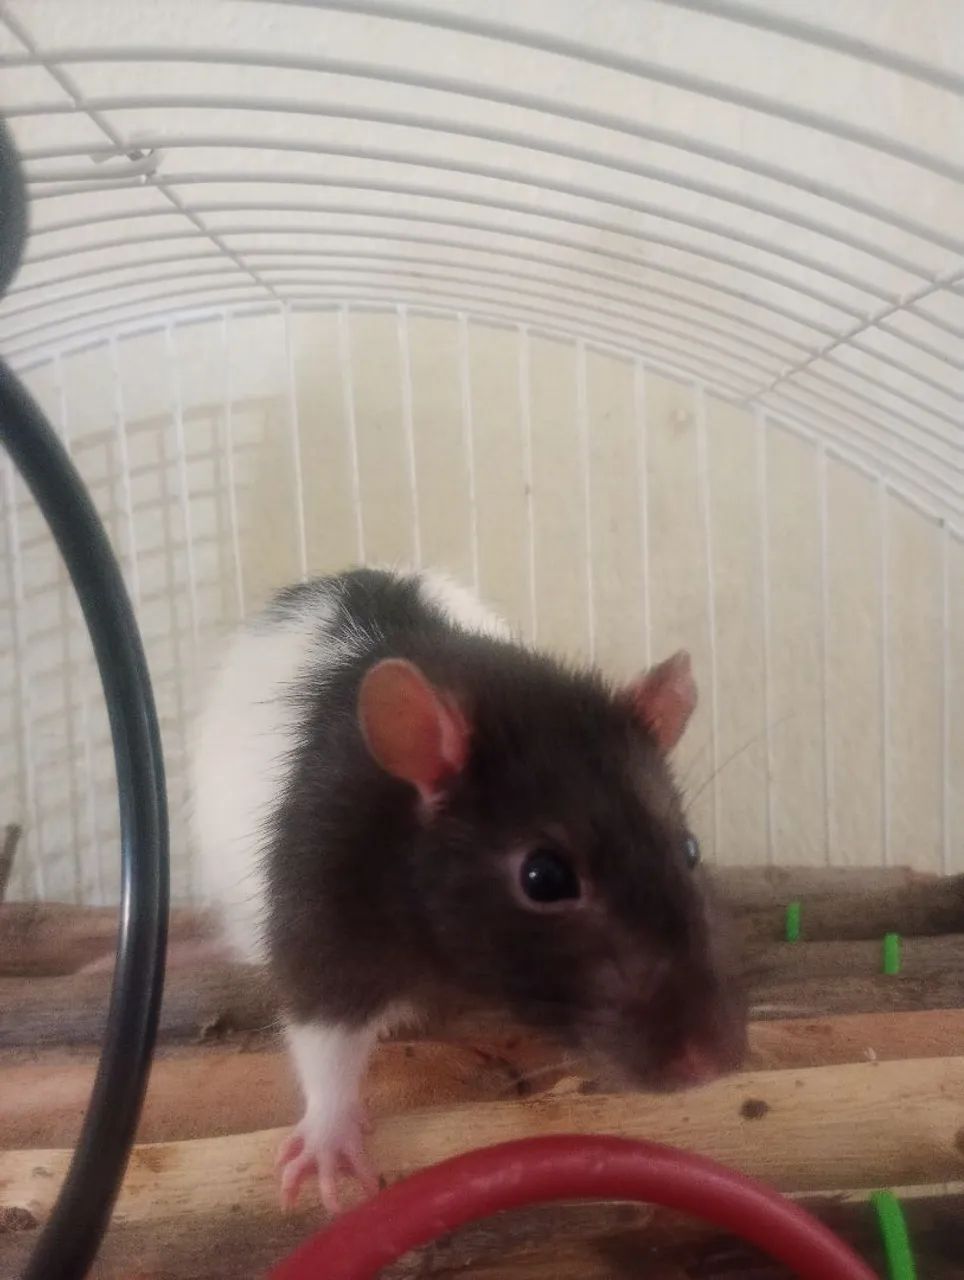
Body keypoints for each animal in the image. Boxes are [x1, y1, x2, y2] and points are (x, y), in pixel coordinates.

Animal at [191, 567, 746, 1212]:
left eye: (690, 850)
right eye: (545, 877)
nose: (714, 1060)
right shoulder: (325, 881)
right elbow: (321, 1020)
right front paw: (329, 1131)